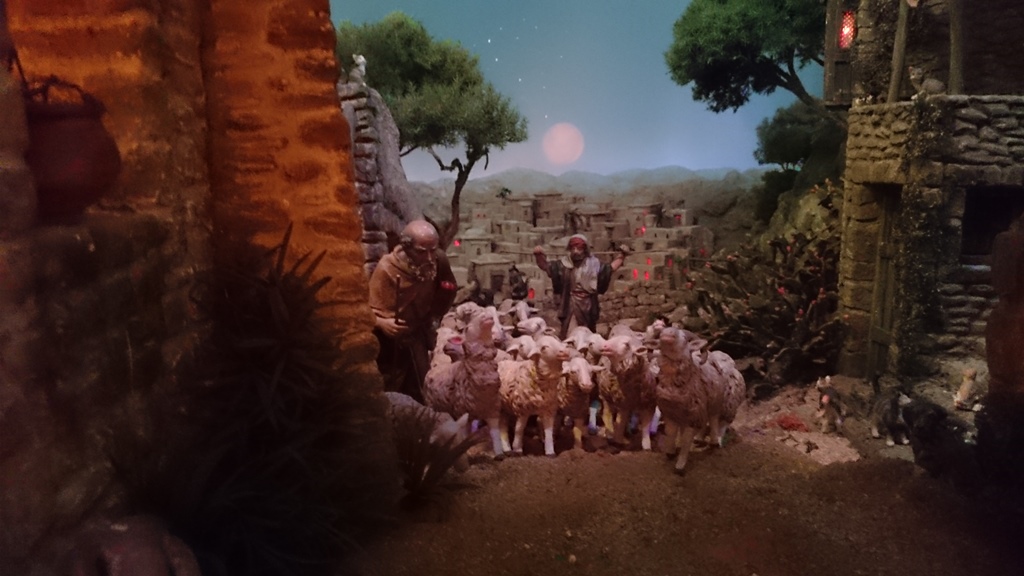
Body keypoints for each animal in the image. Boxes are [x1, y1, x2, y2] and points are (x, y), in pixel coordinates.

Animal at [423, 306, 507, 460]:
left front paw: (499, 454)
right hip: (431, 405)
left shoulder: (493, 411)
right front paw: (464, 453)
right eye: (467, 328)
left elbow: (495, 435)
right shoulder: (463, 413)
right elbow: (465, 436)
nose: (486, 316)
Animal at [654, 327, 745, 474]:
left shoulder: (693, 415)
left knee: (719, 422)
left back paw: (716, 440)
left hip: (728, 403)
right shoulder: (670, 413)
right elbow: (671, 434)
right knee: (710, 418)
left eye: (685, 338)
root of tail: (727, 358)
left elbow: (686, 440)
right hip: (709, 402)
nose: (668, 333)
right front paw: (670, 452)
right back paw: (700, 438)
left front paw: (680, 465)